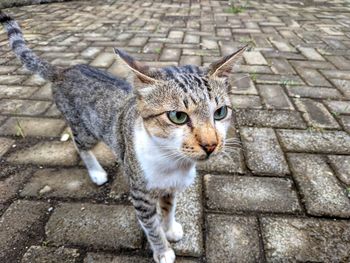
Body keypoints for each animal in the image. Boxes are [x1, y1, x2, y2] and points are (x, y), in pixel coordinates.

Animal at [0, 10, 246, 263]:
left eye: (220, 112)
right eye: (178, 116)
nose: (211, 144)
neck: (172, 161)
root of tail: (64, 70)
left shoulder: (170, 188)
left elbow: (168, 209)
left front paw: (170, 228)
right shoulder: (140, 195)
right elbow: (152, 227)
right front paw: (163, 250)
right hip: (85, 130)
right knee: (79, 145)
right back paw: (96, 172)